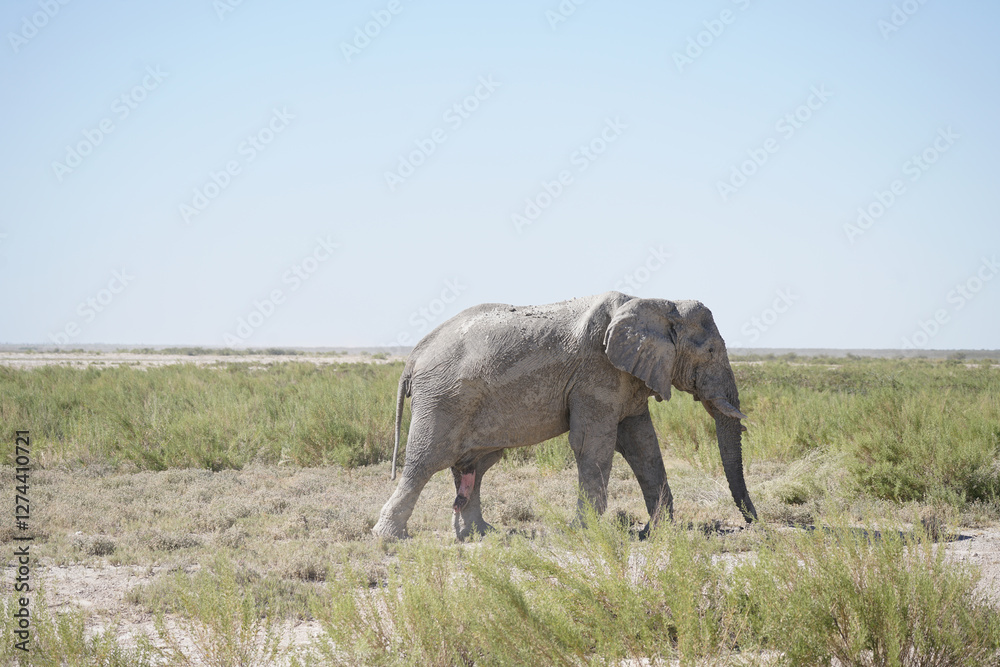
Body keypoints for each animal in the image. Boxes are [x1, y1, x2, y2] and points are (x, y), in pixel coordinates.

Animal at [371, 291, 757, 540]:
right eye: (710, 351)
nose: (751, 523)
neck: (658, 302)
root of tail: (413, 356)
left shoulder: (628, 376)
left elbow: (643, 447)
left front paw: (657, 533)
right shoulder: (597, 372)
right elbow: (593, 444)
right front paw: (586, 532)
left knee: (472, 467)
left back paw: (480, 534)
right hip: (443, 399)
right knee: (425, 462)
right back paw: (388, 537)